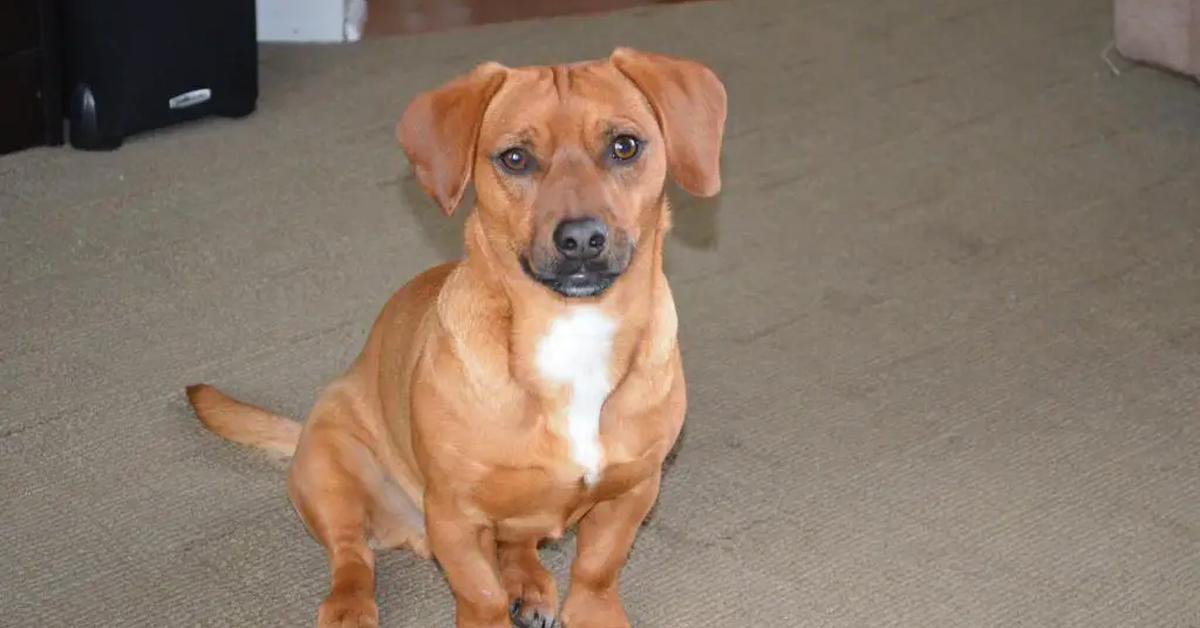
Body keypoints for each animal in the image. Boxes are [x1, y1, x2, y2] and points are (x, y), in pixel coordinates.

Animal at [187, 46, 724, 624]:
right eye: (515, 158)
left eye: (624, 146)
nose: (581, 239)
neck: (571, 334)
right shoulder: (454, 516)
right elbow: (480, 597)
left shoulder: (633, 492)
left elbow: (596, 571)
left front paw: (589, 610)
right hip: (331, 473)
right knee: (351, 556)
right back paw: (350, 606)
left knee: (516, 544)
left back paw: (529, 583)